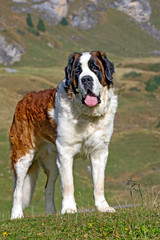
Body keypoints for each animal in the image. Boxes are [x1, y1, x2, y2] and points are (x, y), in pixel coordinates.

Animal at [10, 50, 117, 219]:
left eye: (95, 68)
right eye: (77, 71)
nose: (86, 79)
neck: (87, 115)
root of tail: (23, 100)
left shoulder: (99, 152)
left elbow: (99, 183)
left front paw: (103, 207)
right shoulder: (66, 153)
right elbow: (68, 184)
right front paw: (69, 209)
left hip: (53, 162)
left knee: (48, 187)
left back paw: (50, 213)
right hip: (23, 156)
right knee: (18, 189)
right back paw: (16, 215)